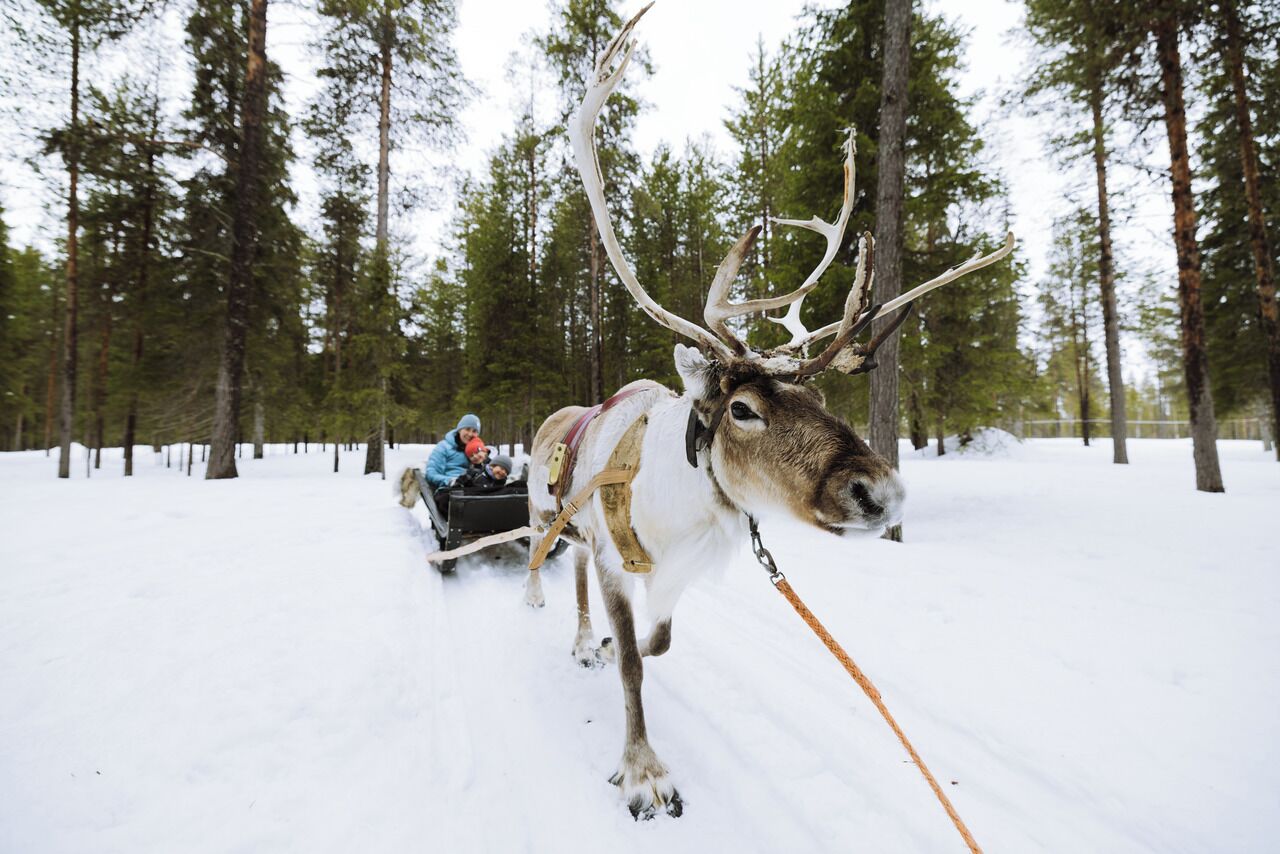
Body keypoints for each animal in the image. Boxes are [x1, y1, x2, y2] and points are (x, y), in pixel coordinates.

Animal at [521, 4, 1014, 821]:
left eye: (818, 397)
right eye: (744, 409)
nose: (882, 491)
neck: (678, 509)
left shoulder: (678, 577)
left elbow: (655, 647)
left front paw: (636, 660)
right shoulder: (619, 560)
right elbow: (631, 668)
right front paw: (643, 771)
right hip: (544, 506)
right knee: (547, 554)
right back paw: (554, 614)